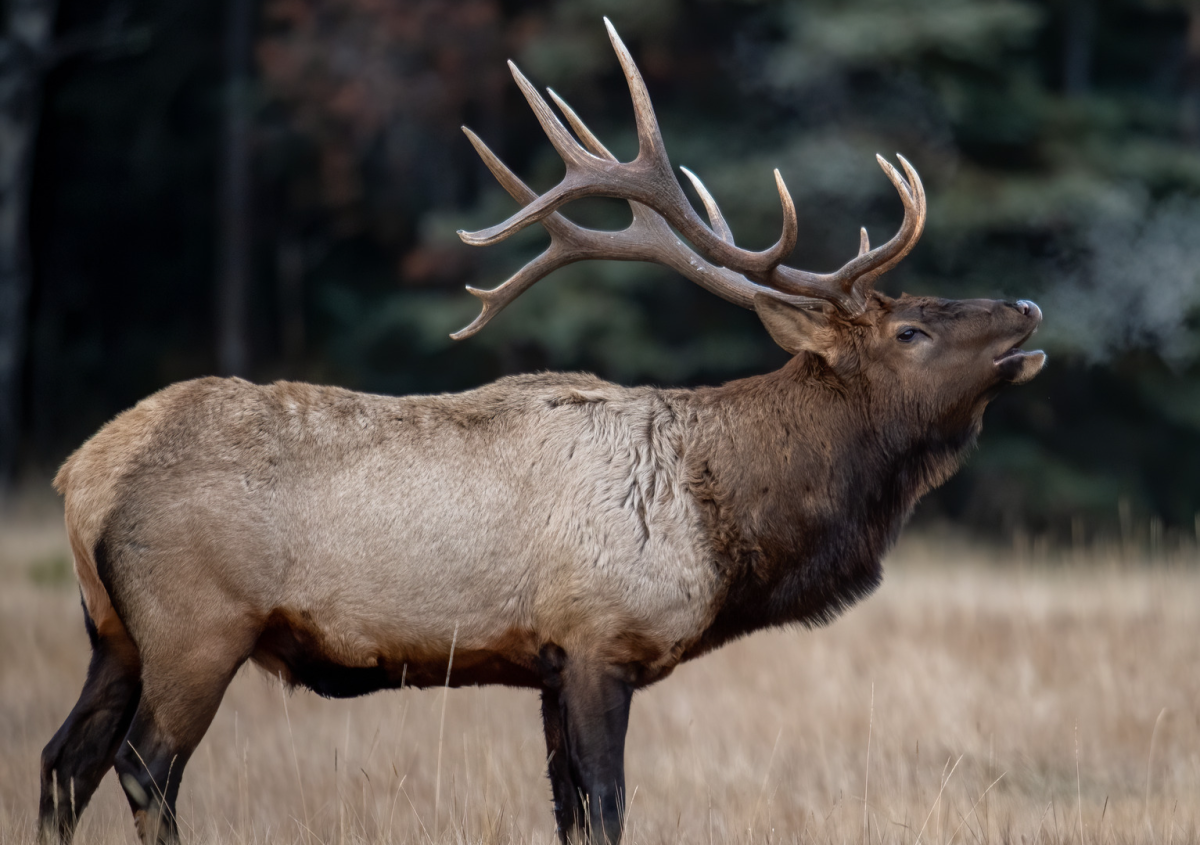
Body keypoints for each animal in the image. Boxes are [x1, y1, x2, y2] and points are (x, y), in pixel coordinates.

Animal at [37, 19, 1045, 845]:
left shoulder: (550, 666)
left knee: (61, 762)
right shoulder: (601, 639)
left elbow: (568, 813)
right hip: (196, 624)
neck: (727, 522)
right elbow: (605, 810)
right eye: (911, 329)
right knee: (144, 766)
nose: (1029, 308)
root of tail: (82, 473)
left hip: (113, 634)